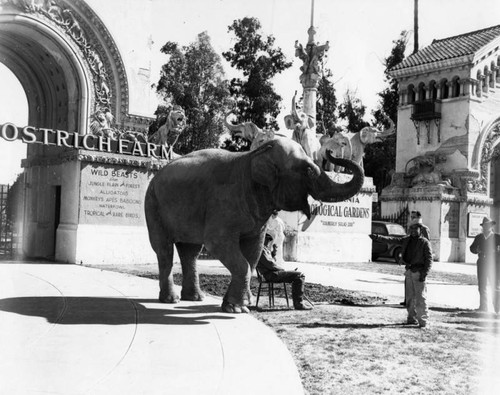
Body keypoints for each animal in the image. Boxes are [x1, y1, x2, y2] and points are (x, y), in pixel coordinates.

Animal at [145, 138, 364, 314]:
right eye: (309, 171)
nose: (331, 152)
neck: (253, 156)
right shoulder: (223, 202)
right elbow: (218, 244)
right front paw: (237, 308)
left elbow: (253, 252)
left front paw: (238, 305)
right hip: (153, 205)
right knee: (164, 250)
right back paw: (171, 300)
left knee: (190, 251)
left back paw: (195, 298)